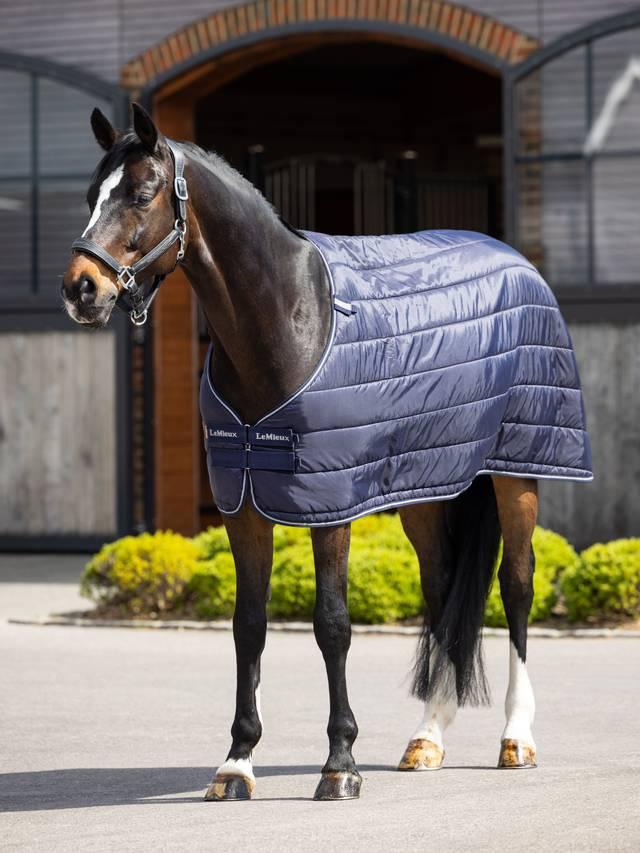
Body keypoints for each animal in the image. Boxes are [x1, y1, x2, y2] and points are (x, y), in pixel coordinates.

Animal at [61, 104, 591, 801]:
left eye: (142, 194)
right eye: (90, 194)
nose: (80, 288)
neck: (290, 318)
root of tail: (515, 258)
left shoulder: (330, 505)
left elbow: (332, 624)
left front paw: (340, 764)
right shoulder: (243, 505)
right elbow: (248, 625)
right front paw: (237, 763)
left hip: (518, 472)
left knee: (517, 584)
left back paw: (516, 738)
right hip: (425, 487)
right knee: (442, 590)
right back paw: (428, 738)